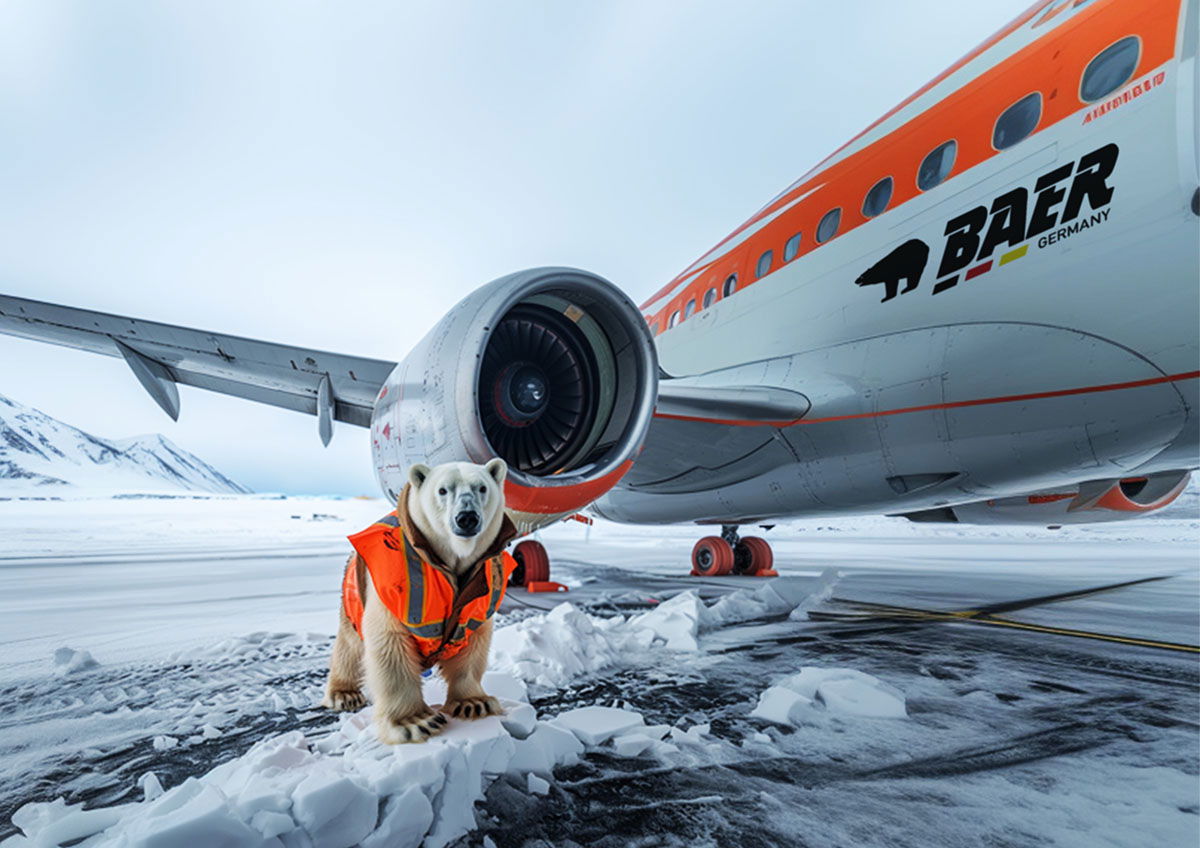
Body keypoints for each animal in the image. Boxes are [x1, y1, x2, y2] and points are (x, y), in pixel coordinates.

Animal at [321, 458, 518, 743]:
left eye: (481, 488)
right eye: (443, 490)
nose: (466, 518)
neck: (449, 562)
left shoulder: (482, 594)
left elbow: (474, 644)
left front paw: (474, 703)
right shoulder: (396, 587)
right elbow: (389, 643)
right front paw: (415, 721)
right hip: (353, 596)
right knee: (349, 644)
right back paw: (343, 694)